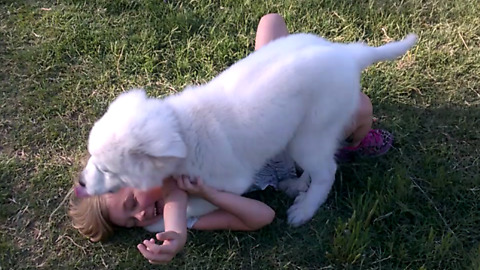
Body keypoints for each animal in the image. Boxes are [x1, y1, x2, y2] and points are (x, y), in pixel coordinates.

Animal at [75, 33, 416, 228]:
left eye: (107, 169)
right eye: (92, 159)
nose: (80, 183)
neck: (182, 129)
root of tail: (347, 54)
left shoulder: (230, 184)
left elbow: (198, 203)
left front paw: (166, 220)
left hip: (310, 133)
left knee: (327, 171)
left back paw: (305, 209)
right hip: (305, 133)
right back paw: (297, 186)